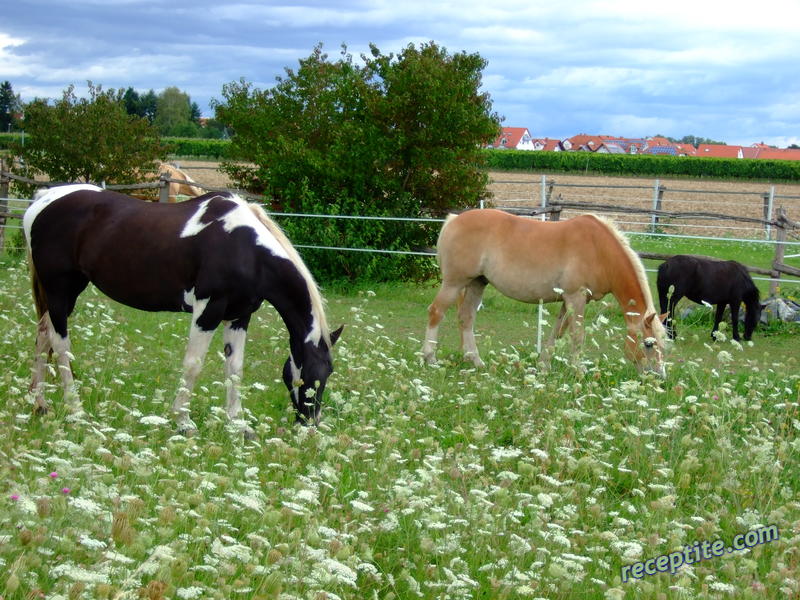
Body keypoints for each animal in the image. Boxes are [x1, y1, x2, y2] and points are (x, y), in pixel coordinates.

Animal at [24, 185, 344, 434]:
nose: (309, 425)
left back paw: (40, 405)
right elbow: (194, 364)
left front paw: (238, 425)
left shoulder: (239, 315)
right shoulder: (208, 309)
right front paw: (183, 421)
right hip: (60, 290)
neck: (247, 250)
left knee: (42, 336)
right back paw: (75, 409)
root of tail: (42, 199)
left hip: (65, 293)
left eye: (329, 373)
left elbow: (235, 368)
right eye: (310, 375)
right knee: (60, 345)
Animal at [424, 210, 668, 376]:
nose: (659, 377)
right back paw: (430, 358)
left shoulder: (569, 300)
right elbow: (577, 335)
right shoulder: (576, 297)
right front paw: (578, 371)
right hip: (454, 283)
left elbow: (557, 332)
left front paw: (543, 366)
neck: (599, 249)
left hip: (476, 283)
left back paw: (476, 361)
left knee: (466, 318)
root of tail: (453, 219)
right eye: (648, 344)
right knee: (436, 312)